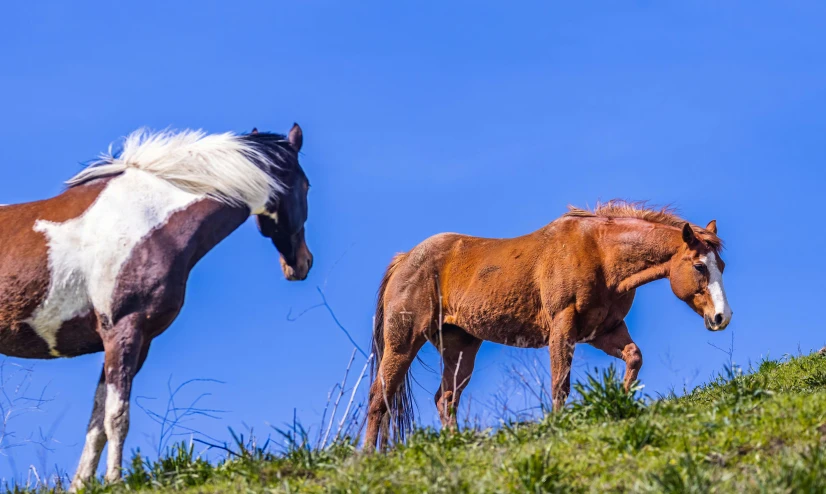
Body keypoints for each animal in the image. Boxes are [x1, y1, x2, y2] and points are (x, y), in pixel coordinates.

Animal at [0, 124, 312, 490]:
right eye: (306, 186)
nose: (302, 264)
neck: (148, 221)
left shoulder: (137, 340)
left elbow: (97, 421)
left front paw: (83, 484)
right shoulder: (124, 331)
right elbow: (116, 417)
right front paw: (116, 482)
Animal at [364, 201, 732, 452]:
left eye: (722, 265)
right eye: (699, 266)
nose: (722, 317)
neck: (599, 253)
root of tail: (405, 259)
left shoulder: (603, 331)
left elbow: (634, 356)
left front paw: (622, 399)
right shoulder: (562, 327)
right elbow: (560, 383)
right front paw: (558, 425)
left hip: (460, 348)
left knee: (445, 398)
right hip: (402, 344)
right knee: (379, 399)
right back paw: (367, 456)